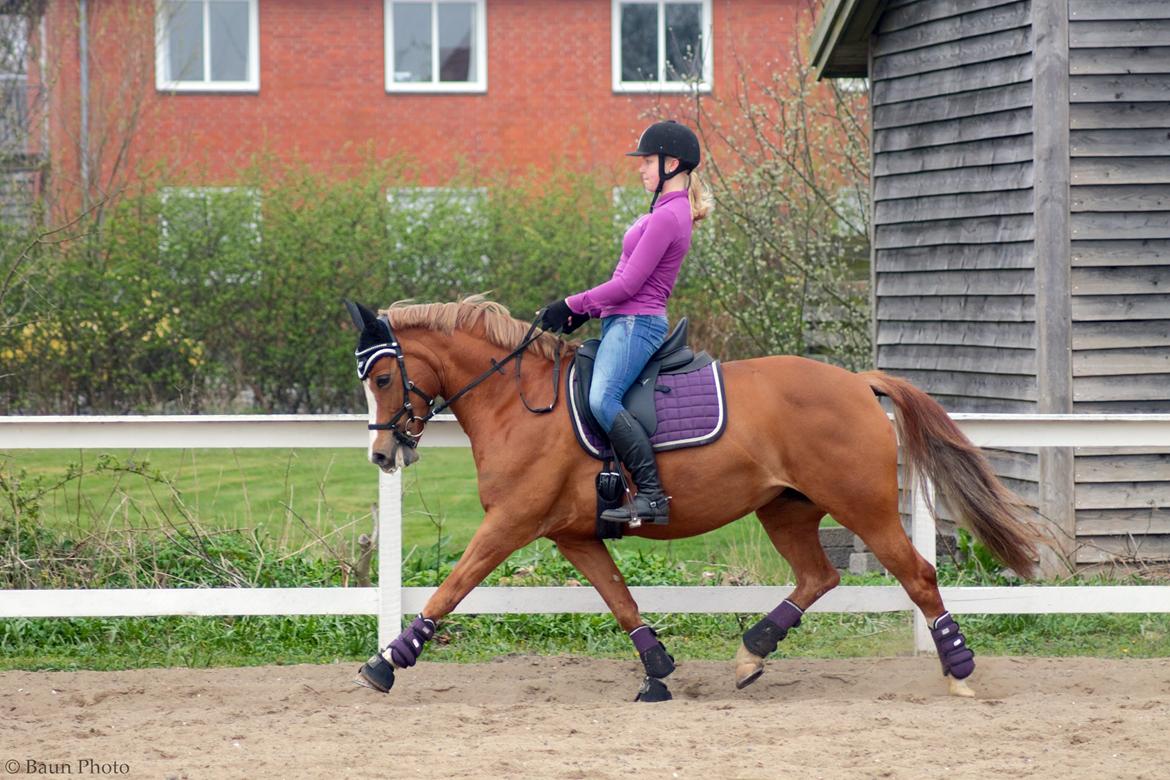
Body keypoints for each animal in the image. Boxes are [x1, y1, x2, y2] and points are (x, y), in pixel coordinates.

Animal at [343, 297, 1034, 701]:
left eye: (385, 377)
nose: (381, 456)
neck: (519, 402)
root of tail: (857, 381)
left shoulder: (511, 523)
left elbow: (452, 587)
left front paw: (389, 661)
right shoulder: (573, 535)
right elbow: (620, 600)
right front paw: (657, 669)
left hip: (862, 506)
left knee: (918, 575)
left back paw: (959, 671)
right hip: (785, 508)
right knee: (819, 575)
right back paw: (752, 654)